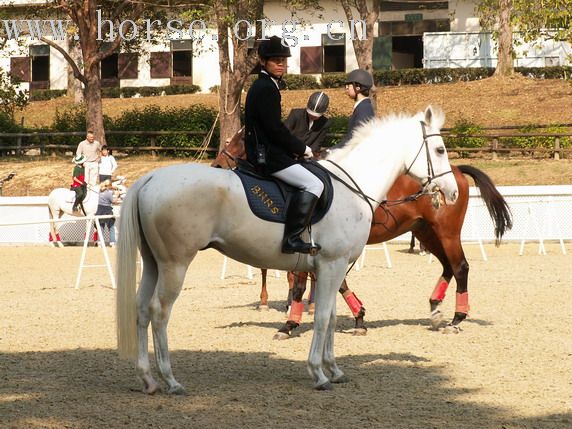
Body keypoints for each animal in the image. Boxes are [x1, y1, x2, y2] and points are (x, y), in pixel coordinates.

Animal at [116, 106, 460, 392]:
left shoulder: (331, 269)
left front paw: (334, 369)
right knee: (160, 312)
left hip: (154, 263)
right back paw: (170, 380)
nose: (452, 192)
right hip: (175, 264)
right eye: (440, 149)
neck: (352, 186)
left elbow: (330, 315)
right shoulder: (332, 264)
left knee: (141, 309)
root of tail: (149, 178)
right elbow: (321, 317)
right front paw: (318, 373)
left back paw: (148, 380)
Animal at [211, 129, 512, 336]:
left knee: (460, 267)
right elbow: (332, 281)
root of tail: (456, 171)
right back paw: (436, 307)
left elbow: (304, 283)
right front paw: (358, 317)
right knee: (448, 266)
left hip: (446, 233)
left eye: (240, 140)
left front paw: (291, 323)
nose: (216, 167)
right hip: (426, 232)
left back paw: (456, 318)